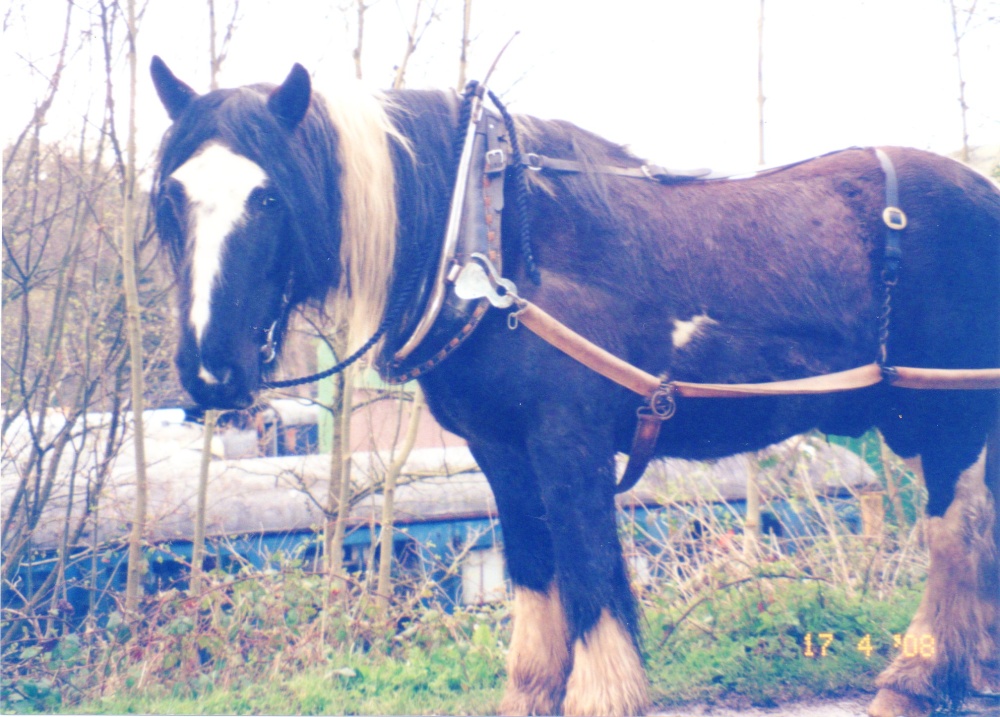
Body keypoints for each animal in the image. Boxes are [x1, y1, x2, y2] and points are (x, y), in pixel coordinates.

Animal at [150, 57, 1000, 716]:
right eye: (173, 197)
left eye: (269, 196)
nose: (209, 370)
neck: (488, 241)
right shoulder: (500, 451)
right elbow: (535, 573)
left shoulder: (569, 442)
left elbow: (588, 573)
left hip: (951, 411)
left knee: (953, 529)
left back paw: (919, 675)